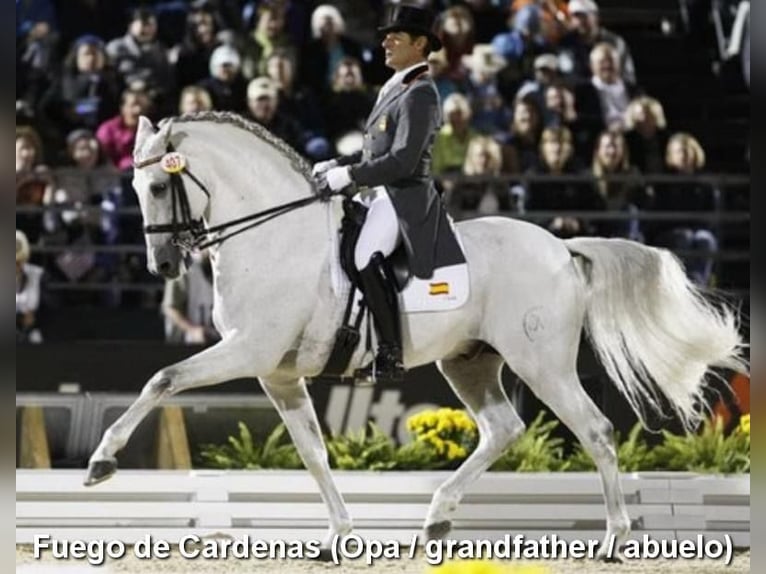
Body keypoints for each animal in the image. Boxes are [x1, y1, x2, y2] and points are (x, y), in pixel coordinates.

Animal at [87, 112, 748, 564]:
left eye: (156, 188)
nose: (163, 266)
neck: (272, 235)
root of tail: (562, 247)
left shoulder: (249, 351)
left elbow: (162, 378)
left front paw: (101, 462)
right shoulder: (278, 373)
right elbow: (313, 453)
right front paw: (340, 537)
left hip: (543, 364)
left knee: (596, 431)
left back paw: (614, 538)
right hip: (470, 363)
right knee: (503, 429)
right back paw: (435, 520)